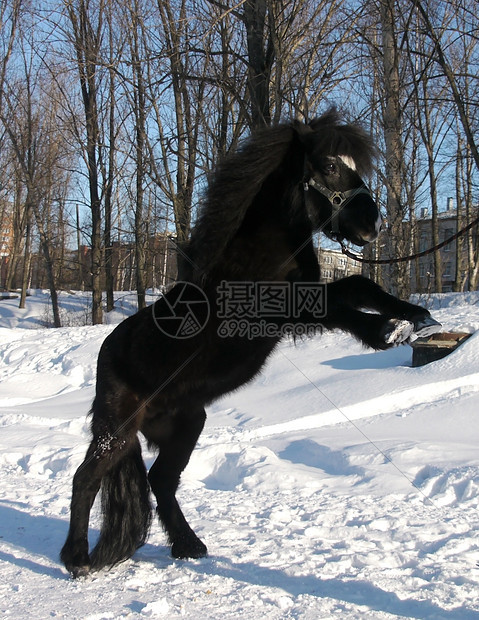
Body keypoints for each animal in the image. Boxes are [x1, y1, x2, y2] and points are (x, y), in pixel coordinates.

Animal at [62, 108, 440, 576]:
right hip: (116, 428)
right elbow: (342, 307)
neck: (258, 254)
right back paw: (77, 559)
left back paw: (189, 545)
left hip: (185, 424)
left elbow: (359, 285)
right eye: (330, 166)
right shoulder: (281, 310)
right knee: (86, 479)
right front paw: (387, 330)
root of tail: (107, 352)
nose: (373, 225)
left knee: (160, 480)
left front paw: (417, 317)